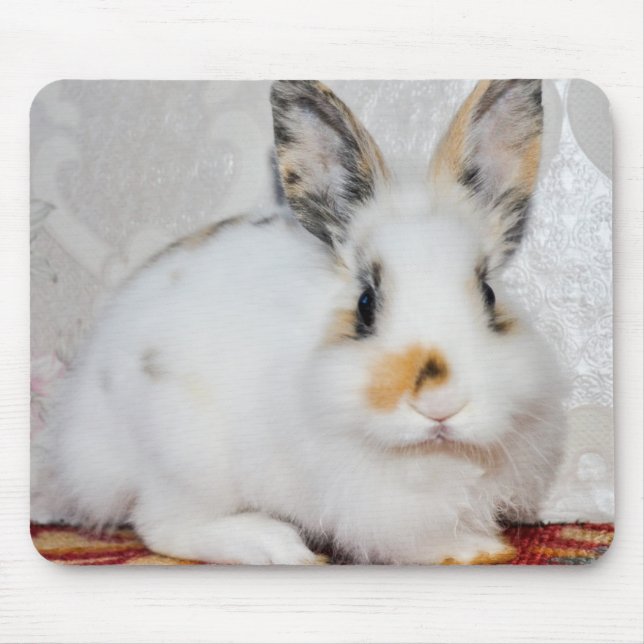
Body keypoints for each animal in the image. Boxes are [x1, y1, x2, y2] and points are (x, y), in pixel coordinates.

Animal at [31, 80, 566, 565]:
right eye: (366, 304)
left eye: (489, 294)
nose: (440, 405)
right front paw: (466, 550)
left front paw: (479, 548)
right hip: (186, 458)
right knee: (161, 527)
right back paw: (275, 547)